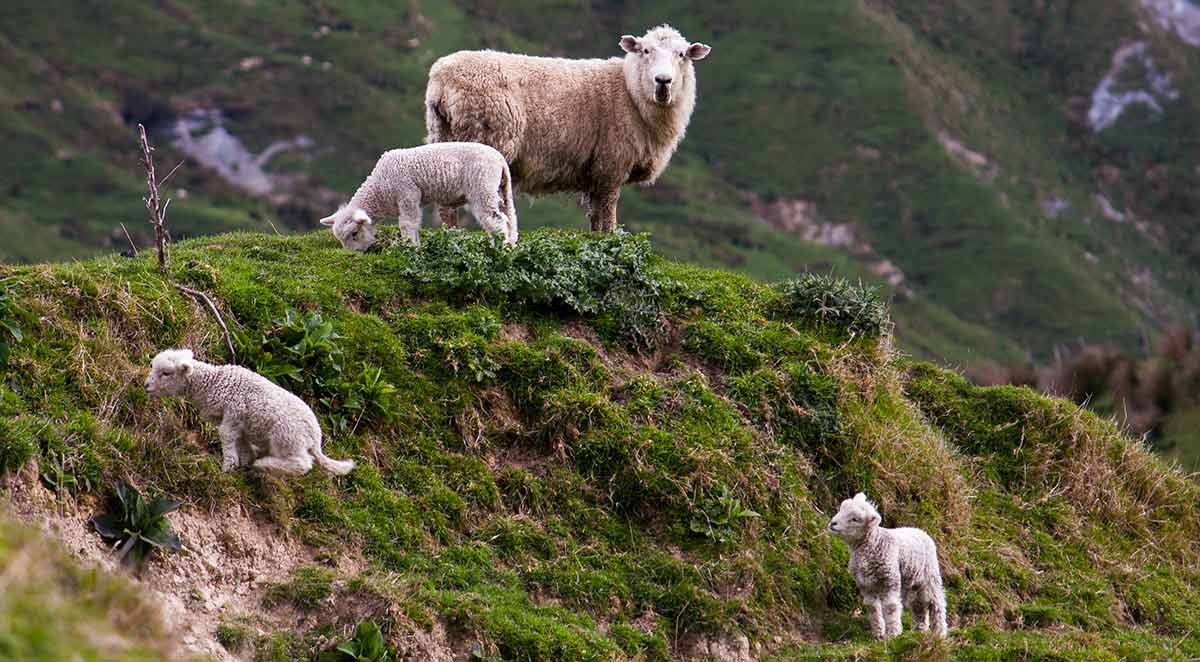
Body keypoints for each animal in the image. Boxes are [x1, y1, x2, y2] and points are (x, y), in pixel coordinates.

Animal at [143, 345, 352, 474]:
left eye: (166, 373)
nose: (146, 386)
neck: (214, 383)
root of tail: (316, 436)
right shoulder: (240, 424)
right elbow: (242, 444)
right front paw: (242, 463)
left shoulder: (233, 414)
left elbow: (226, 436)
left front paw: (227, 467)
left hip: (286, 439)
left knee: (301, 464)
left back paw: (264, 464)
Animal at [321, 142, 518, 250]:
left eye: (354, 233)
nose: (355, 254)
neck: (380, 189)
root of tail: (500, 158)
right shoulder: (412, 199)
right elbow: (414, 224)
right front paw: (416, 246)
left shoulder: (407, 194)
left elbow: (408, 224)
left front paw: (410, 248)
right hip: (500, 189)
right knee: (509, 219)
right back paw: (510, 245)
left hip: (483, 188)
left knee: (496, 221)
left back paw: (502, 249)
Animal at [424, 23, 710, 232]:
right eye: (645, 51)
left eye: (682, 55)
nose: (663, 81)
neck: (629, 92)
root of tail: (442, 80)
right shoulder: (611, 166)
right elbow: (608, 215)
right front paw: (611, 242)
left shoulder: (596, 174)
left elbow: (596, 217)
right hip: (486, 137)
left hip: (442, 136)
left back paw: (452, 236)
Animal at [825, 494, 945, 638]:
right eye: (841, 509)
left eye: (855, 519)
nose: (833, 523)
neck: (873, 543)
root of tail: (920, 531)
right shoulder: (865, 584)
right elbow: (872, 608)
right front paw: (878, 633)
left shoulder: (890, 580)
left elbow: (891, 606)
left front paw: (893, 633)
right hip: (910, 581)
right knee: (918, 604)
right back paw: (919, 629)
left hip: (930, 575)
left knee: (937, 603)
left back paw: (940, 632)